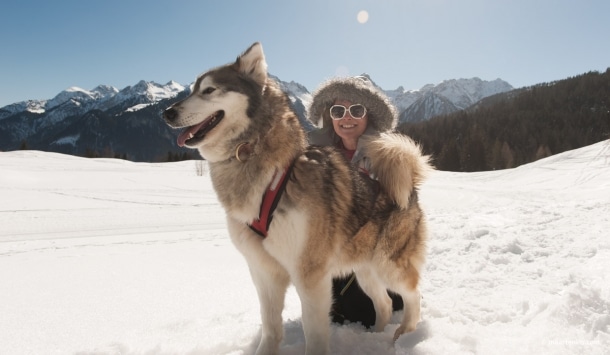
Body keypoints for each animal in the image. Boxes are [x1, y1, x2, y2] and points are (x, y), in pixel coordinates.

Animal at [162, 43, 428, 354]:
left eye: (209, 90)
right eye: (192, 89)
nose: (167, 113)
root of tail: (409, 187)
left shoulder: (310, 275)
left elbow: (313, 333)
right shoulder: (263, 271)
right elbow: (270, 327)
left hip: (389, 265)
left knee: (413, 294)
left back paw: (406, 335)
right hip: (364, 270)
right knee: (384, 302)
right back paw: (376, 335)